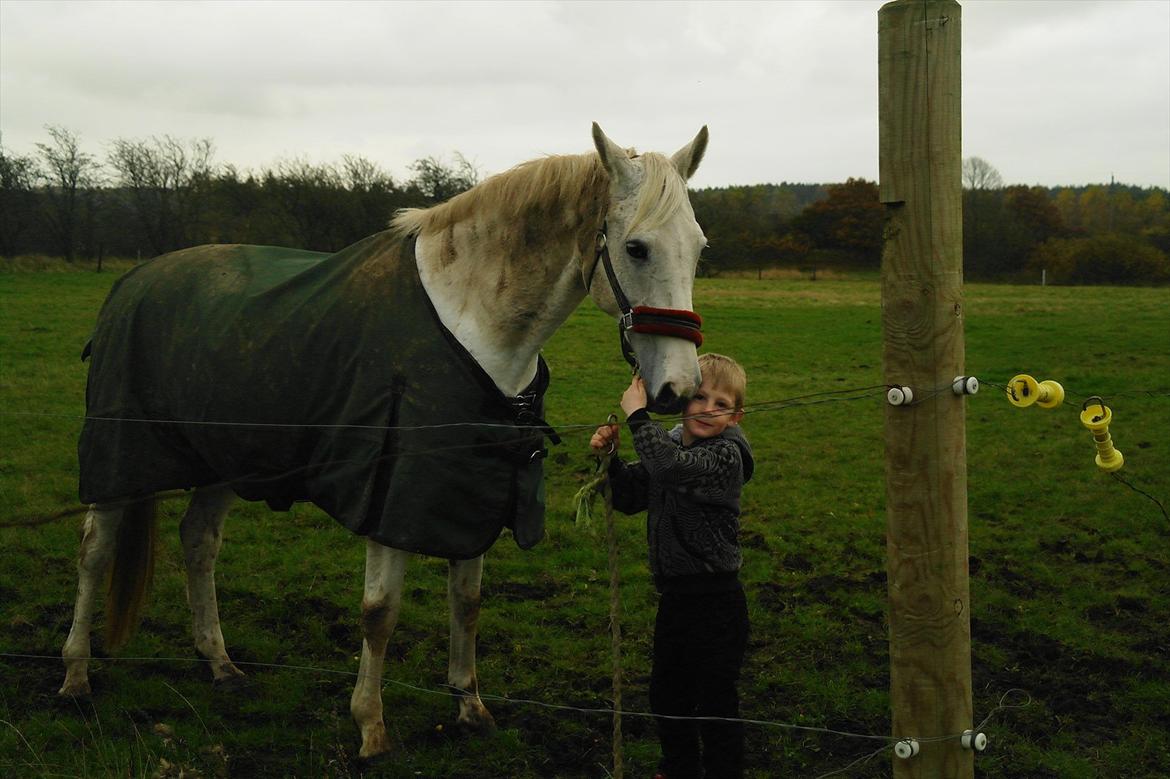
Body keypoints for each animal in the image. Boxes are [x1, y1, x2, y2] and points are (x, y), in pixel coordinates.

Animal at [59, 122, 706, 757]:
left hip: (227, 459)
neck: (475, 327)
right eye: (636, 247)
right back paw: (75, 676)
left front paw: (469, 706)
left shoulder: (473, 493)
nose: (678, 388)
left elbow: (467, 603)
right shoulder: (390, 498)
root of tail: (133, 282)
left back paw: (219, 664)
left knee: (198, 542)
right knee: (95, 551)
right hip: (120, 461)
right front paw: (370, 726)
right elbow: (379, 613)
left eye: (699, 248)